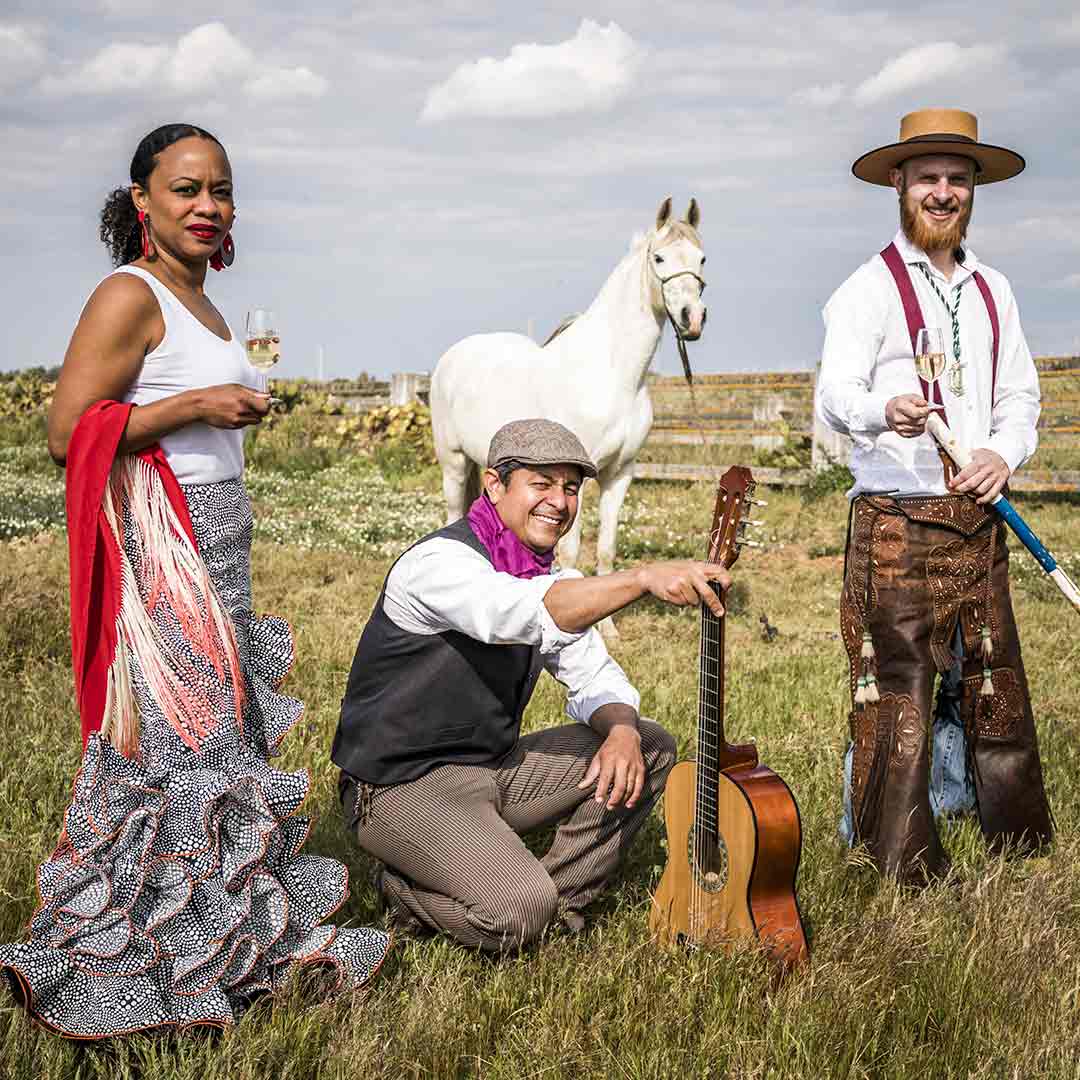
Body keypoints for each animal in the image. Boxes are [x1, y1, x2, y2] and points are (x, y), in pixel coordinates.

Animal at [429, 198, 708, 591]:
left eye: (701, 259)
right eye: (660, 258)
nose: (692, 319)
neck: (614, 376)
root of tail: (450, 358)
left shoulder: (620, 475)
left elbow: (606, 551)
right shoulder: (579, 478)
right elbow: (571, 555)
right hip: (453, 462)